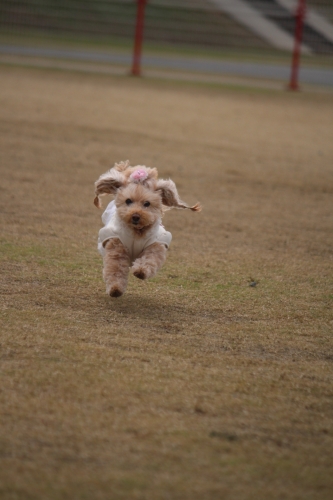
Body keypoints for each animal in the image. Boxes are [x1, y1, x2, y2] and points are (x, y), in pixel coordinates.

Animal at [93, 161, 200, 296]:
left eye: (147, 203)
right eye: (128, 201)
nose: (135, 216)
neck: (137, 231)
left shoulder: (156, 244)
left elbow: (149, 259)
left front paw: (140, 271)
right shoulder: (116, 245)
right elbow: (116, 269)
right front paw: (115, 289)